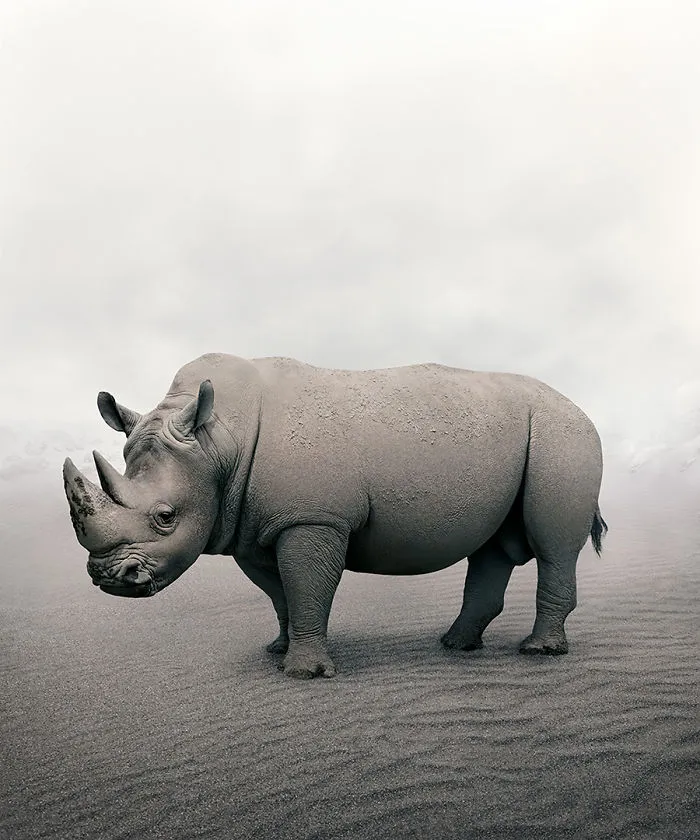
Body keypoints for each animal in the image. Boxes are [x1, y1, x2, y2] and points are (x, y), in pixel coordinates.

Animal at [63, 353, 608, 679]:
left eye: (165, 516)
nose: (109, 578)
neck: (218, 441)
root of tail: (579, 407)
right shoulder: (252, 527)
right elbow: (280, 594)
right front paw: (278, 650)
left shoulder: (311, 518)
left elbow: (307, 586)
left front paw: (303, 674)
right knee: (493, 547)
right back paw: (456, 646)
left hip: (563, 434)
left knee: (553, 547)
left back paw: (538, 651)